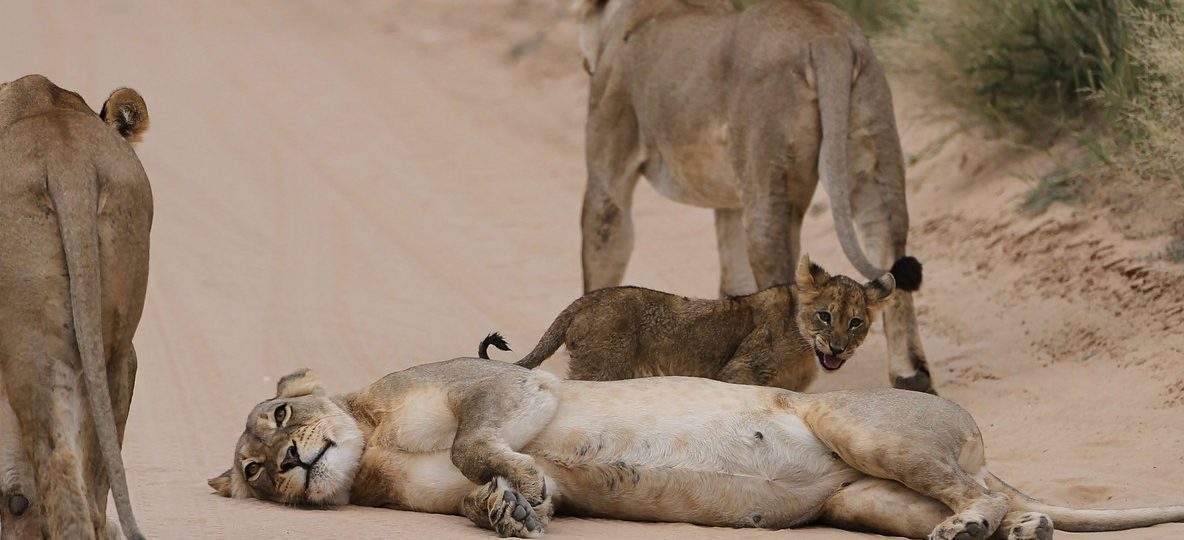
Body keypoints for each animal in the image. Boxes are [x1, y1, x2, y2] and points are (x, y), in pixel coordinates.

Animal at [478, 255, 894, 391]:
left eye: (856, 322)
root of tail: (586, 299)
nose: (838, 348)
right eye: (825, 315)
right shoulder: (737, 371)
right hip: (600, 368)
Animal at [576, 0, 934, 393]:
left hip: (768, 175)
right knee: (889, 248)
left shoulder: (609, 172)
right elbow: (735, 280)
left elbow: (602, 256)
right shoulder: (731, 201)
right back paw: (913, 377)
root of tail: (826, 35)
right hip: (874, 146)